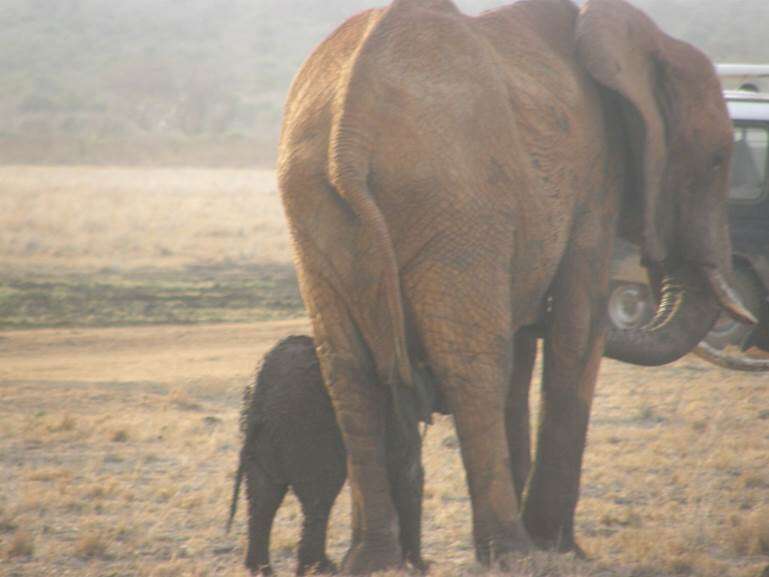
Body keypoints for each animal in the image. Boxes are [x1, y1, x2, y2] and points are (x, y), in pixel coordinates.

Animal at [226, 336, 344, 572]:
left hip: (262, 432)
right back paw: (320, 568)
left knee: (262, 495)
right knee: (322, 492)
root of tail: (260, 387)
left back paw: (260, 569)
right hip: (307, 427)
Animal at [274, 0, 756, 568]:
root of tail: (350, 130)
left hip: (317, 207)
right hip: (458, 201)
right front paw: (563, 550)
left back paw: (373, 561)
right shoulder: (596, 178)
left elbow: (523, 349)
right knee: (473, 368)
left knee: (349, 371)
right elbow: (576, 329)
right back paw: (512, 552)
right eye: (718, 161)